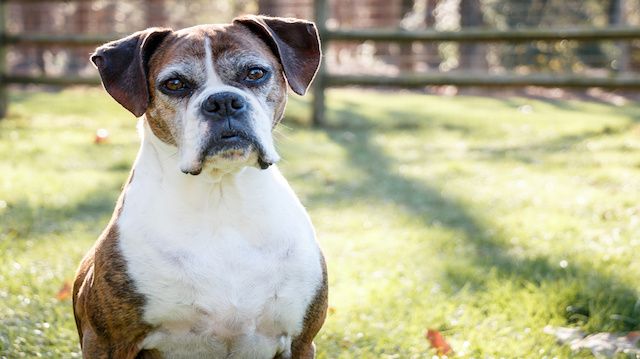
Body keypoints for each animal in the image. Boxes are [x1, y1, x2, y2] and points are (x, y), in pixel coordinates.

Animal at [72, 14, 328, 359]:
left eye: (255, 73)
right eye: (174, 84)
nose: (222, 101)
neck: (221, 198)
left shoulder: (301, 341)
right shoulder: (107, 342)